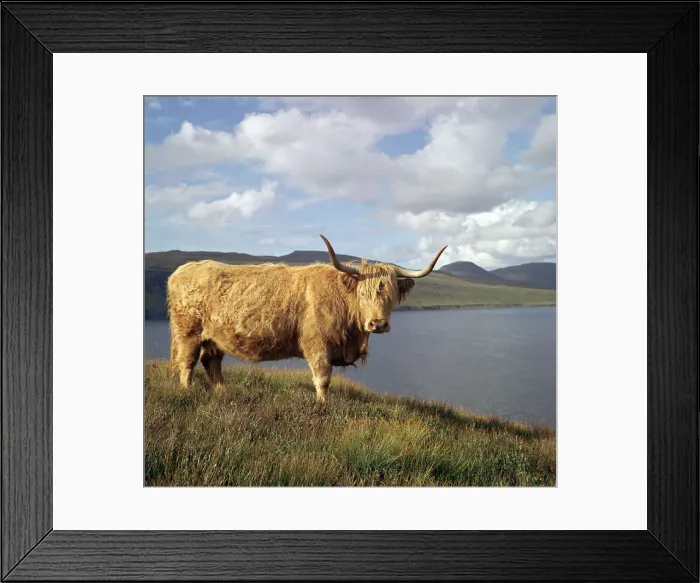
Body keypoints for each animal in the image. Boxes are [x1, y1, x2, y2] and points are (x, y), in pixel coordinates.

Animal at [166, 235, 447, 408]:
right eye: (363, 293)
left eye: (390, 294)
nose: (377, 324)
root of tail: (183, 269)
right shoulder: (317, 344)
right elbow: (322, 378)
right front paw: (322, 407)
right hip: (188, 331)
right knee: (187, 362)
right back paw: (187, 392)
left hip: (214, 337)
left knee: (211, 361)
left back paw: (224, 393)